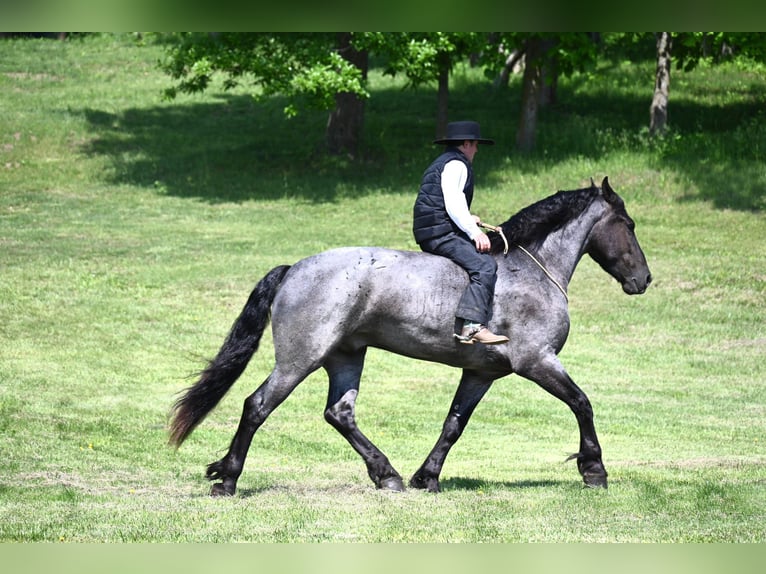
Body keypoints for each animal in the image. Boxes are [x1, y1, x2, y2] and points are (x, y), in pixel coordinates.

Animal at [170, 178, 656, 498]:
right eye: (628, 224)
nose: (644, 280)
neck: (530, 270)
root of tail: (295, 268)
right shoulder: (537, 361)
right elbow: (582, 403)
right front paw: (594, 469)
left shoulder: (480, 373)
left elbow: (453, 424)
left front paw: (427, 477)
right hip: (299, 359)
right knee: (257, 405)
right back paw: (228, 479)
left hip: (346, 356)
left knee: (340, 413)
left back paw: (388, 475)